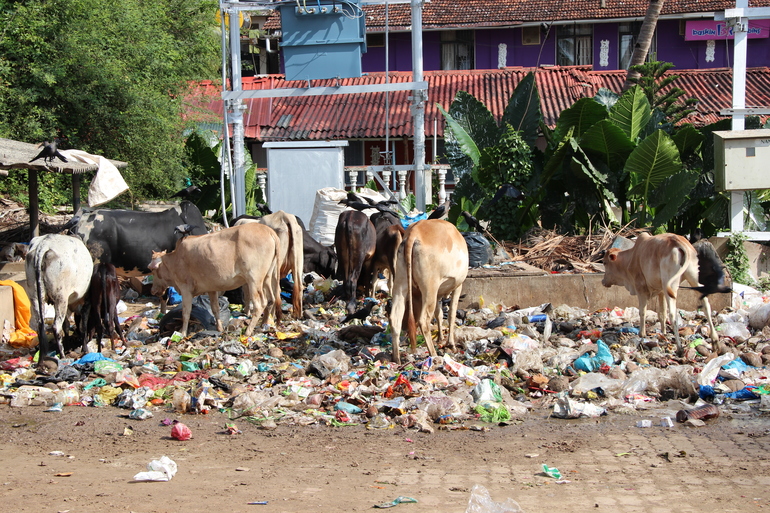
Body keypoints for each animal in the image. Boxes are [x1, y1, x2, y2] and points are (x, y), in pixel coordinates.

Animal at [147, 223, 280, 336]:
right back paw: (263, 325)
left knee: (260, 304)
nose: (153, 290)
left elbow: (186, 313)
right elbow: (215, 309)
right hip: (267, 277)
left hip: (254, 279)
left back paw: (248, 331)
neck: (175, 259)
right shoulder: (211, 288)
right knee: (271, 299)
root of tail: (268, 230)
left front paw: (182, 332)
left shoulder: (185, 289)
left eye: (152, 270)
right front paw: (219, 328)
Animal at [388, 219, 464, 364]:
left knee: (395, 318)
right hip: (430, 288)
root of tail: (414, 232)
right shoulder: (458, 286)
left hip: (400, 284)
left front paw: (440, 338)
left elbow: (439, 314)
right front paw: (451, 344)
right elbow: (451, 314)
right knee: (423, 320)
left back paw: (396, 358)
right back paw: (433, 354)